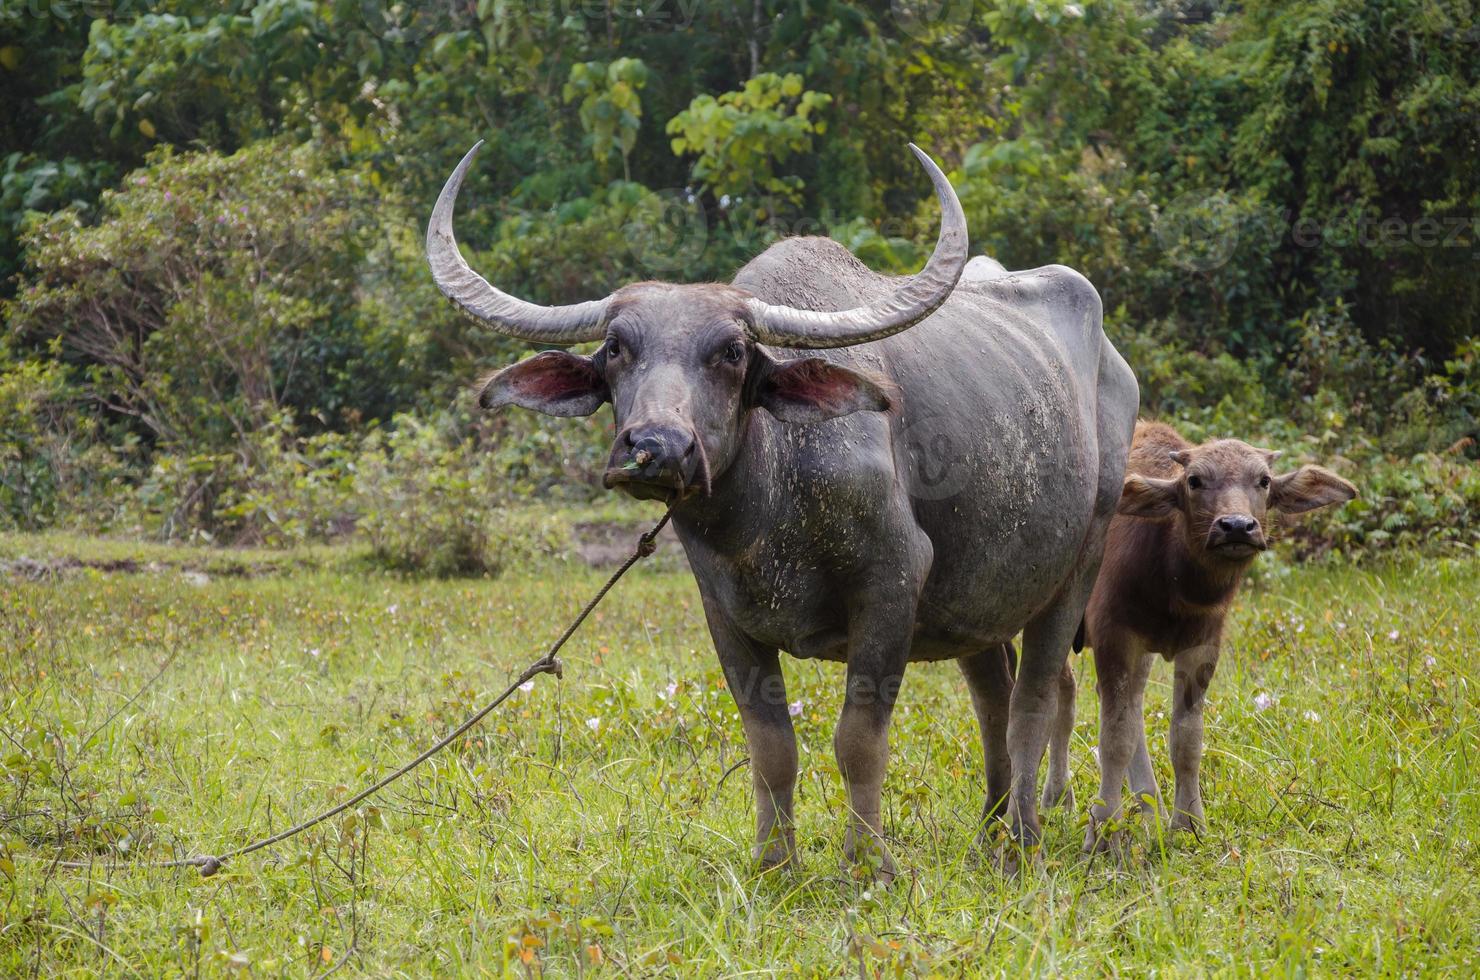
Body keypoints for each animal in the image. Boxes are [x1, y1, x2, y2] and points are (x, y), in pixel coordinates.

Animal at [423, 142, 1136, 876]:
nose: (656, 446)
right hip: (976, 600)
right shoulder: (726, 613)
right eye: (617, 348)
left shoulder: (892, 586)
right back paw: (989, 830)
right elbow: (770, 747)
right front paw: (775, 864)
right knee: (992, 695)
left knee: (1034, 700)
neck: (770, 512)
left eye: (732, 352)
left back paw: (1021, 838)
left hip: (1078, 564)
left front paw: (867, 864)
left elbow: (858, 740)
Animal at [1059, 417, 1355, 846]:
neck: (1172, 584)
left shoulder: (1202, 646)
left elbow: (1186, 738)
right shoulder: (1114, 636)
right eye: (1195, 480)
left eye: (1263, 480)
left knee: (1129, 705)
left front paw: (1188, 823)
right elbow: (1114, 738)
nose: (1236, 527)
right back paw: (1055, 797)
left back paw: (1149, 807)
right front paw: (1101, 831)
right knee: (1060, 694)